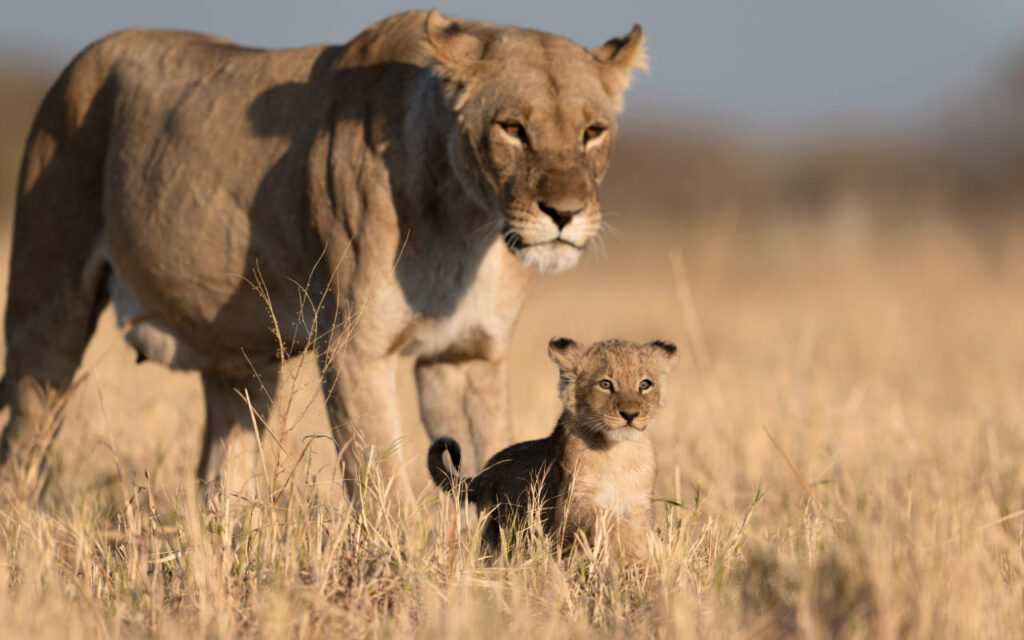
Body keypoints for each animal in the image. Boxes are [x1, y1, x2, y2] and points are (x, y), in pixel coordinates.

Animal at [0, 10, 646, 496]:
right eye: (512, 128)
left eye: (593, 132)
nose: (563, 214)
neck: (469, 229)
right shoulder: (354, 348)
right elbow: (383, 487)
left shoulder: (467, 355)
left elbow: (501, 459)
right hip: (46, 306)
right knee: (23, 442)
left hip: (243, 362)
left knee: (223, 469)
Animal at [428, 337, 677, 560]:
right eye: (606, 384)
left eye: (645, 384)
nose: (630, 414)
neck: (619, 452)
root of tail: (483, 473)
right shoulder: (572, 504)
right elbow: (608, 523)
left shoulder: (638, 503)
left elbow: (636, 533)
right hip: (493, 531)